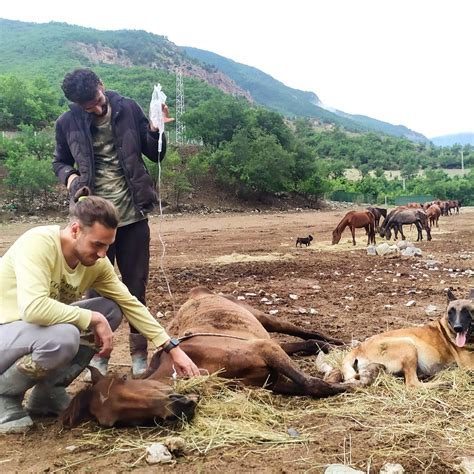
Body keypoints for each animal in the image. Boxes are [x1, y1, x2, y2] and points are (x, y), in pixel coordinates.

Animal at [62, 286, 348, 428]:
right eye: (113, 422)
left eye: (124, 380)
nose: (180, 407)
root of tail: (198, 293)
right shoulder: (273, 378)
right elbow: (308, 386)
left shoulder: (265, 350)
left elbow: (313, 384)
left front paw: (348, 385)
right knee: (304, 343)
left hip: (263, 318)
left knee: (304, 332)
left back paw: (336, 342)